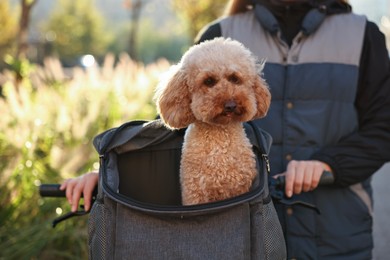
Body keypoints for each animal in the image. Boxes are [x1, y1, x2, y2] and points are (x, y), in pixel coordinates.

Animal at [154, 38, 270, 205]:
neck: (220, 138)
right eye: (208, 81)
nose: (230, 105)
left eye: (234, 78)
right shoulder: (196, 193)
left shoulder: (240, 188)